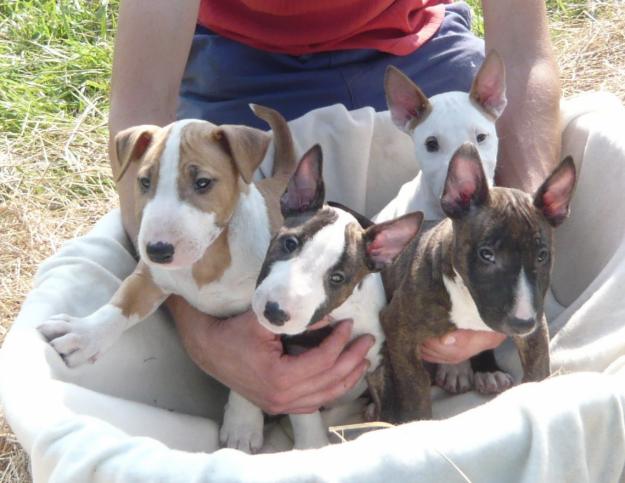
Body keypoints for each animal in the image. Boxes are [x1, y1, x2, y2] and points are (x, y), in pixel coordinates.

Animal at [39, 105, 298, 454]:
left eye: (202, 183)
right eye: (145, 181)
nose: (157, 250)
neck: (208, 257)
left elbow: (249, 368)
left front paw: (242, 425)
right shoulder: (149, 277)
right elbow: (121, 305)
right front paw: (84, 335)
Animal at [251, 145, 422, 450]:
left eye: (338, 278)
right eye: (290, 243)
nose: (275, 312)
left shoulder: (380, 360)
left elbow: (389, 407)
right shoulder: (295, 365)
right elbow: (302, 410)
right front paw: (311, 445)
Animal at [368, 143, 576, 424]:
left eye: (542, 256)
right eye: (486, 254)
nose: (522, 323)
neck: (467, 299)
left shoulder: (535, 329)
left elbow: (538, 370)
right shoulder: (397, 329)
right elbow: (414, 387)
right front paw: (414, 421)